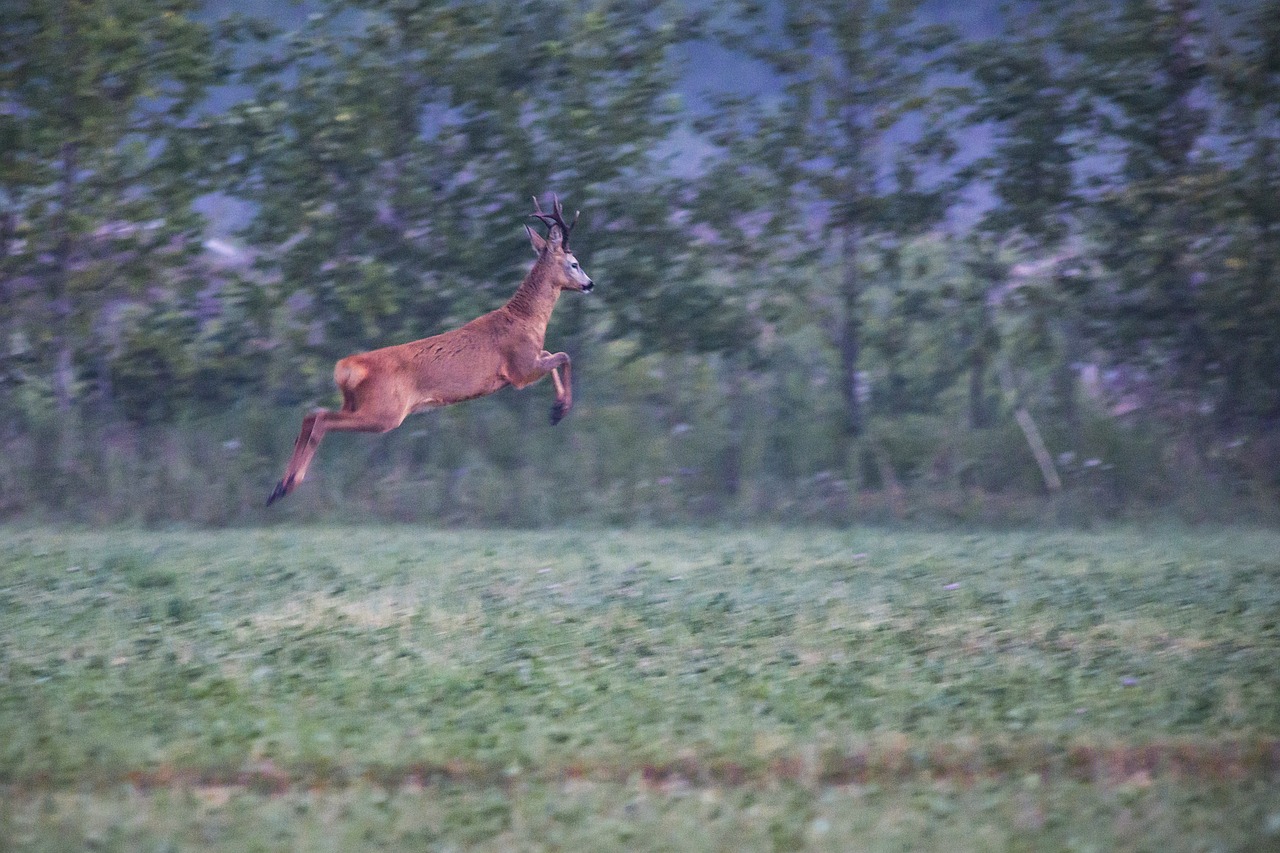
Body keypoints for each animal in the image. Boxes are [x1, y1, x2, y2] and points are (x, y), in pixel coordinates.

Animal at [268, 192, 593, 504]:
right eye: (574, 263)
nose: (589, 283)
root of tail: (348, 367)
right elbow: (563, 355)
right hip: (385, 411)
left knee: (311, 416)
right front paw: (560, 411)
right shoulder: (519, 370)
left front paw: (556, 409)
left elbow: (553, 354)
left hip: (357, 404)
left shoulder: (529, 362)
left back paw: (278, 489)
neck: (525, 320)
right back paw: (289, 485)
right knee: (321, 420)